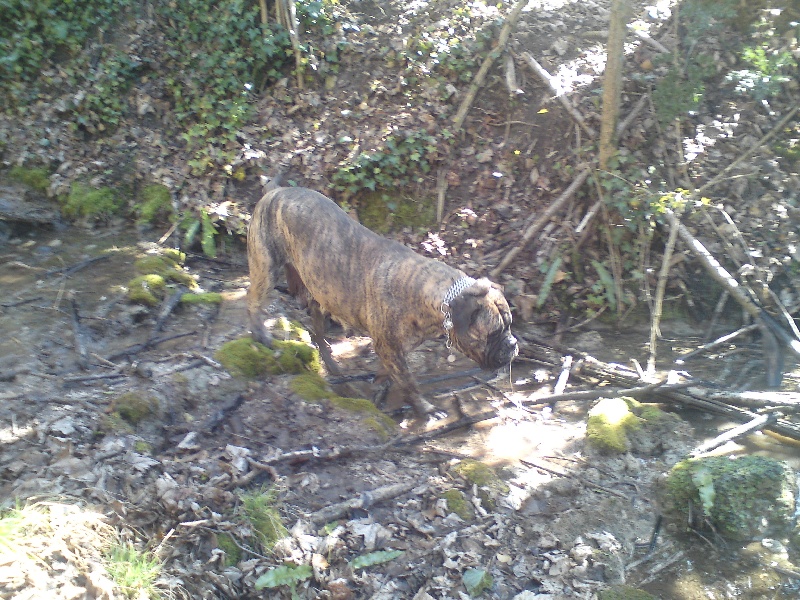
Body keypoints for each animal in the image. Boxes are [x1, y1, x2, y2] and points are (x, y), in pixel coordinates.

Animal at [247, 185, 520, 414]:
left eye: (510, 325)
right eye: (493, 333)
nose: (513, 344)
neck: (430, 295)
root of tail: (275, 191)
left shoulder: (395, 348)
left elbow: (388, 372)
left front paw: (380, 385)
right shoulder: (391, 349)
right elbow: (408, 381)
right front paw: (425, 408)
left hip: (319, 287)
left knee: (315, 319)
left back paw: (329, 357)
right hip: (266, 267)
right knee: (253, 301)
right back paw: (261, 335)